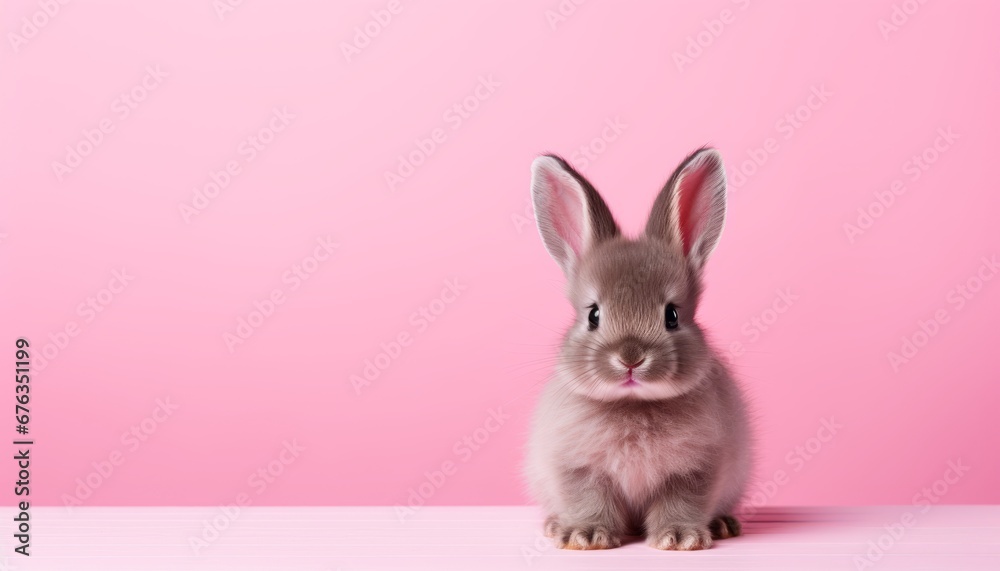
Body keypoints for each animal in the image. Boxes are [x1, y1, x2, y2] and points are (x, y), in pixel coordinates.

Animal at [524, 148, 752, 551]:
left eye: (672, 315)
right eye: (594, 315)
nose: (630, 359)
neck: (633, 404)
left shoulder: (696, 469)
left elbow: (681, 502)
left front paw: (679, 538)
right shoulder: (577, 469)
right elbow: (590, 501)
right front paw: (586, 536)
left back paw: (723, 524)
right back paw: (554, 525)